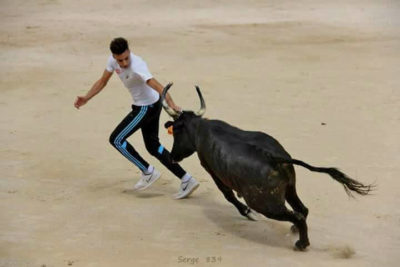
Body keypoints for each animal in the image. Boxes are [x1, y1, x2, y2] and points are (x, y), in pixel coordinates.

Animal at [161, 84, 374, 251]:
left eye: (176, 132)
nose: (172, 156)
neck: (199, 128)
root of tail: (274, 158)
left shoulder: (211, 169)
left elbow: (227, 194)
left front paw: (246, 212)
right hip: (289, 189)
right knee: (302, 210)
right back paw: (295, 233)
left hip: (264, 203)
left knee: (297, 215)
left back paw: (301, 244)